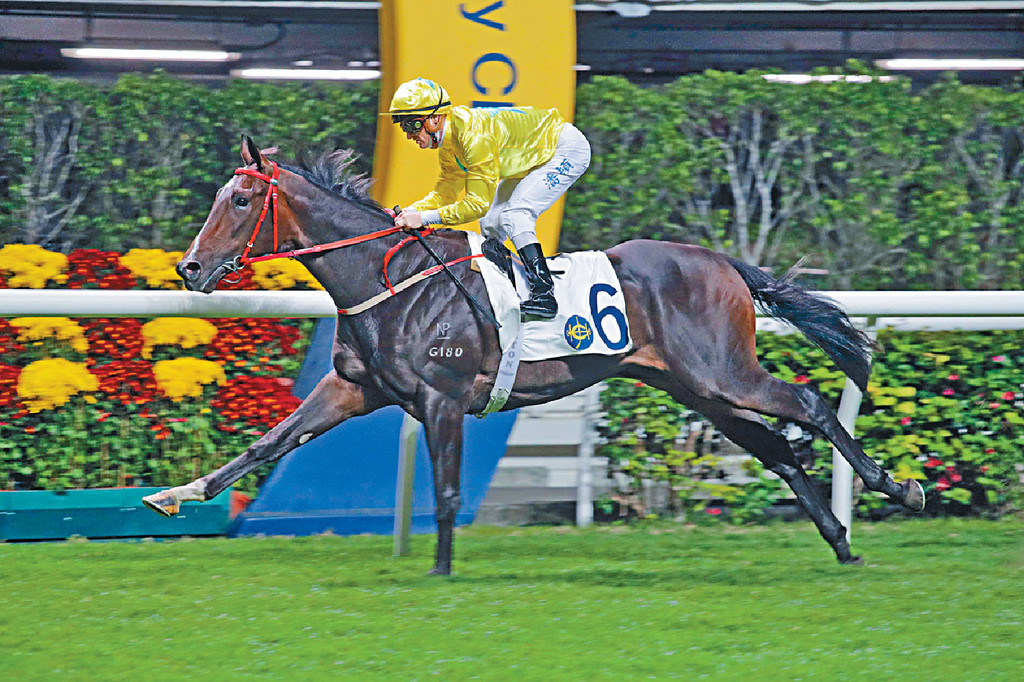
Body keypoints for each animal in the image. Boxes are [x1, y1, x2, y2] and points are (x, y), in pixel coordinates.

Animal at [143, 136, 924, 574]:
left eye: (242, 200)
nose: (190, 268)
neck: (388, 281)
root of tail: (723, 261)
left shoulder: (442, 398)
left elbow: (448, 492)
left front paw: (440, 573)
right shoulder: (352, 389)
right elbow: (268, 444)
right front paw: (175, 495)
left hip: (723, 371)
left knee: (812, 404)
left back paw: (896, 488)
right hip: (697, 388)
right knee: (779, 449)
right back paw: (841, 542)